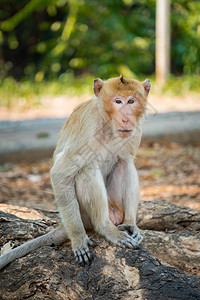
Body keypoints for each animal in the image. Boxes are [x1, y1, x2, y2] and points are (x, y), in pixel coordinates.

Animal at [0, 74, 150, 268]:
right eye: (118, 101)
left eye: (131, 101)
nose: (126, 118)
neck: (108, 124)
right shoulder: (87, 130)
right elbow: (60, 174)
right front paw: (79, 239)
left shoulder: (135, 131)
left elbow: (126, 161)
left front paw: (132, 224)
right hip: (85, 214)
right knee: (87, 170)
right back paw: (104, 227)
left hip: (115, 205)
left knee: (125, 163)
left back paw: (128, 223)